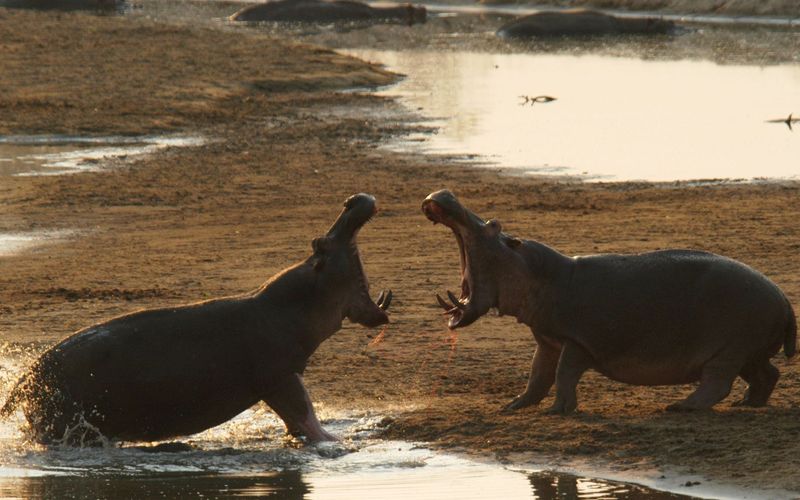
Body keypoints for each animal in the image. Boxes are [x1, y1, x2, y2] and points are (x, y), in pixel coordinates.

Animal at [422, 188, 796, 414]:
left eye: (494, 225)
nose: (445, 194)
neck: (539, 273)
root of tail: (784, 299)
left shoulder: (576, 342)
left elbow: (563, 374)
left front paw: (558, 411)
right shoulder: (547, 340)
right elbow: (537, 375)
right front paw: (513, 405)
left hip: (729, 349)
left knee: (718, 383)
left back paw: (680, 407)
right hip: (747, 351)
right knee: (768, 374)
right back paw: (748, 404)